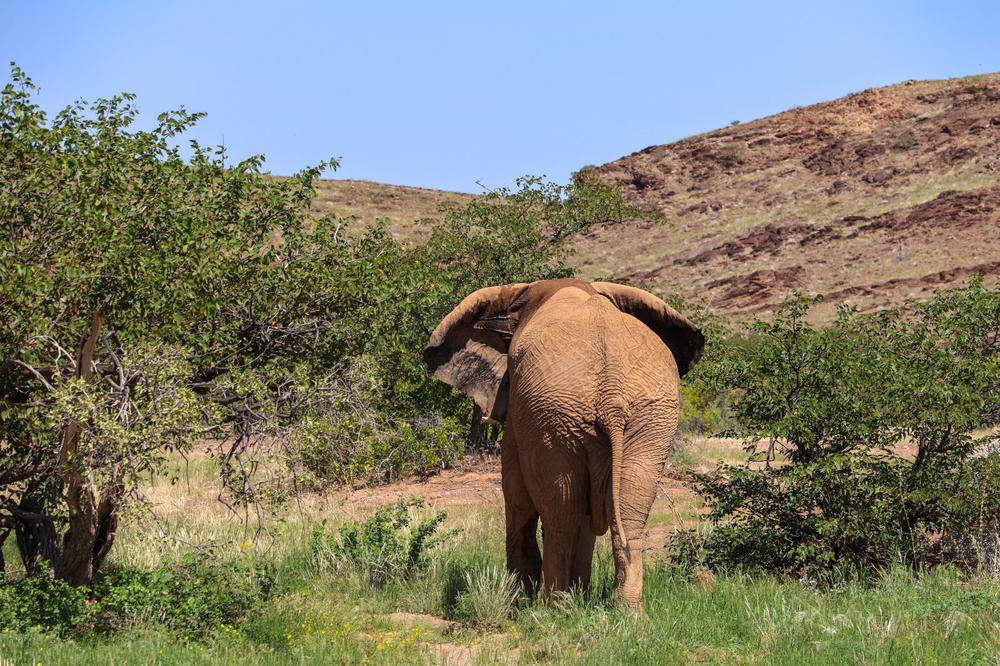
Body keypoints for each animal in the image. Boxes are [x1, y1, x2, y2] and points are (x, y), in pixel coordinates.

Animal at [424, 278, 704, 609]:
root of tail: (611, 394)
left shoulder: (520, 413)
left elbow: (516, 495)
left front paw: (521, 602)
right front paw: (578, 597)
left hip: (553, 414)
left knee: (561, 513)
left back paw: (550, 608)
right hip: (647, 416)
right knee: (627, 511)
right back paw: (626, 611)